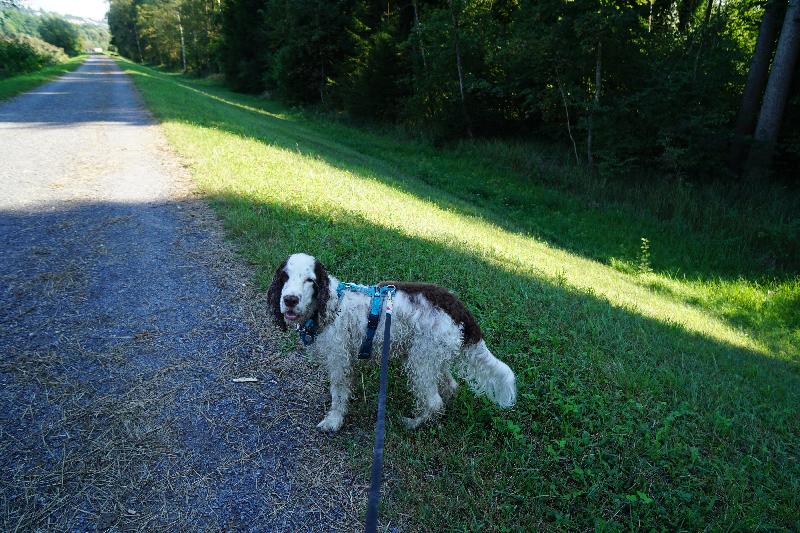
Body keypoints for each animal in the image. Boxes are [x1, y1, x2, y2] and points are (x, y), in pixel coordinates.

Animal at [268, 253, 516, 432]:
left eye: (310, 280)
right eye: (285, 277)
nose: (290, 300)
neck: (330, 306)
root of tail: (459, 308)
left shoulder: (339, 360)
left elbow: (338, 395)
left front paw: (333, 422)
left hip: (421, 363)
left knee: (434, 402)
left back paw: (414, 423)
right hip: (433, 358)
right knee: (450, 387)